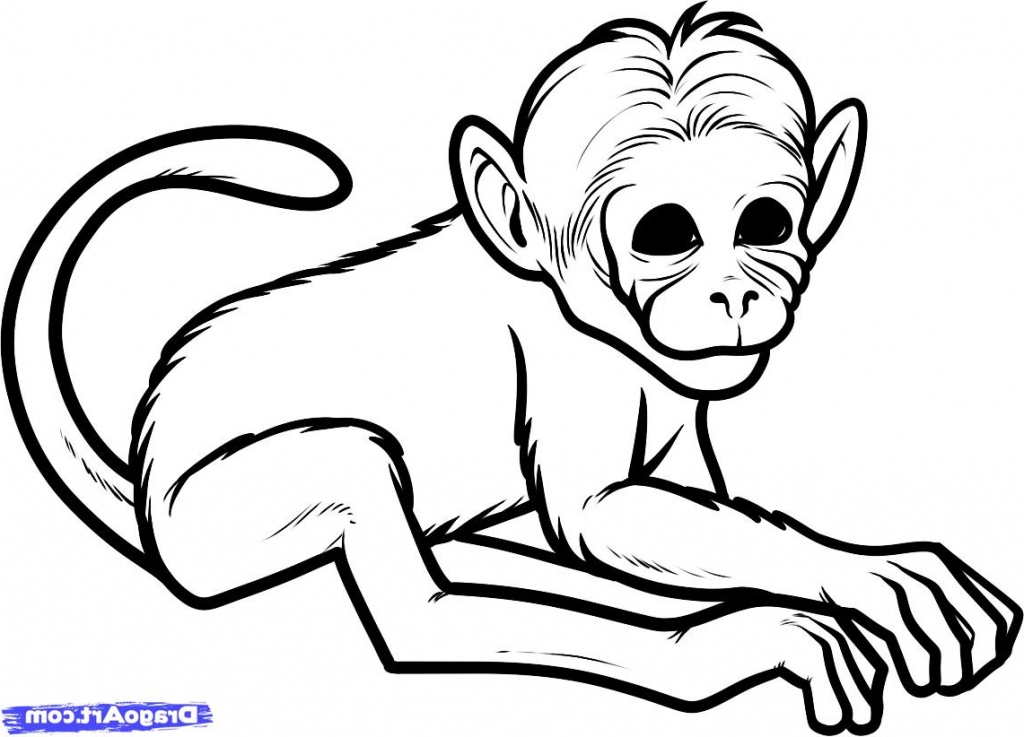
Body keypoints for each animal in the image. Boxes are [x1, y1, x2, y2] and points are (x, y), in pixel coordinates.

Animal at [3, 5, 1019, 735]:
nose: (734, 293)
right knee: (412, 591)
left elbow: (686, 510)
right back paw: (708, 647)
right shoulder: (575, 367)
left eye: (766, 223)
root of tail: (144, 477)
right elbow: (597, 514)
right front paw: (840, 584)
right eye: (666, 235)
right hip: (213, 519)